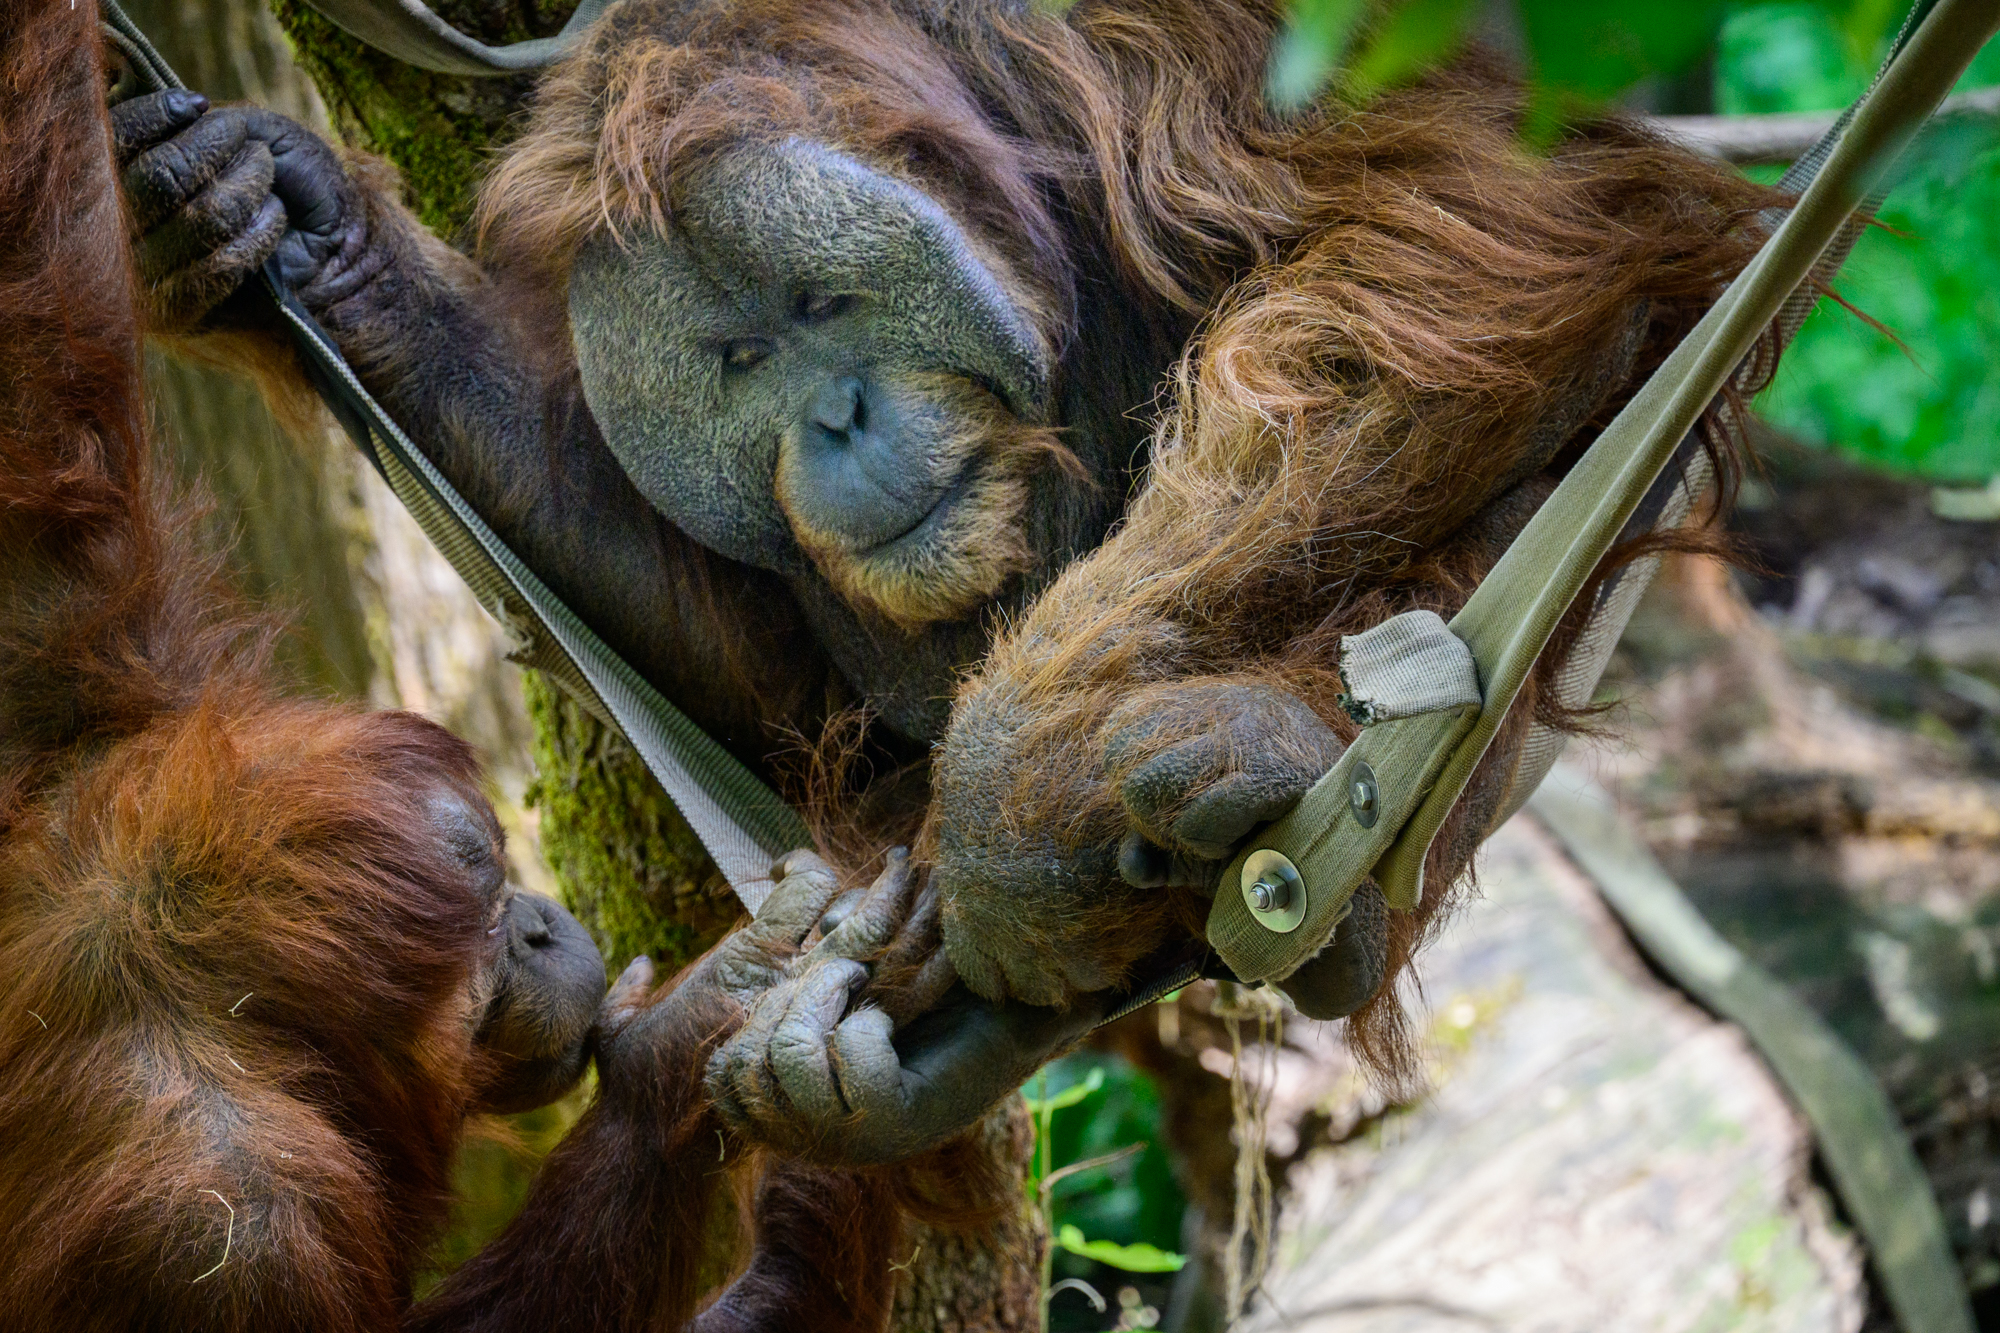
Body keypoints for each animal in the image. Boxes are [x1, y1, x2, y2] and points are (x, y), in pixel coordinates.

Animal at [111, 0, 1777, 1153]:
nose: (837, 417)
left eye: (822, 303)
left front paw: (1011, 809)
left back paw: (1265, 790)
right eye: (740, 360)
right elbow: (767, 658)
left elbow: (1466, 223)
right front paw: (278, 219)